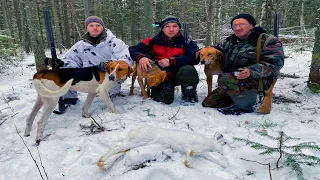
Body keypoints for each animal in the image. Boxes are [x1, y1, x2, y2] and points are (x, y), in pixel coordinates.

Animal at [96, 126, 226, 169]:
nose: (222, 153)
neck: (210, 143)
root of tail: (132, 131)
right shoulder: (193, 146)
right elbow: (193, 152)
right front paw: (189, 163)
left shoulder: (189, 149)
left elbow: (191, 154)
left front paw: (188, 164)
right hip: (138, 141)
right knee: (116, 148)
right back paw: (102, 161)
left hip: (137, 143)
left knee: (119, 149)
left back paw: (103, 164)